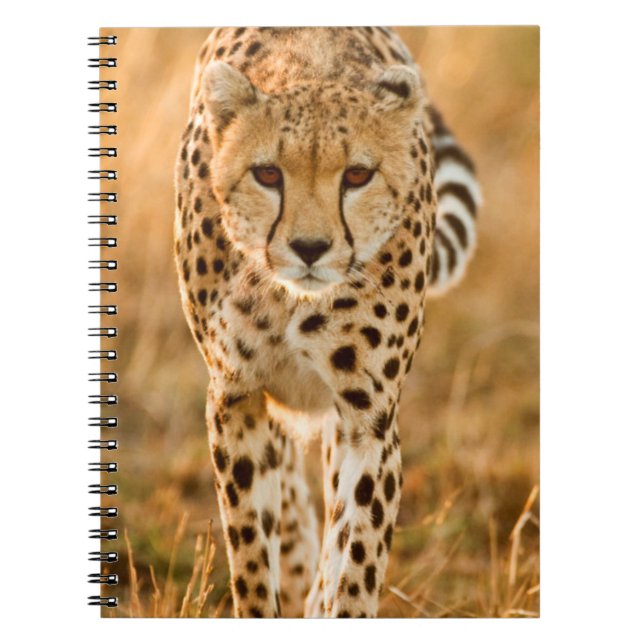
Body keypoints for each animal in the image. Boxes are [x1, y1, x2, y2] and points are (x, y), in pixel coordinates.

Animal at [174, 26, 481, 618]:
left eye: (357, 175)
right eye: (267, 173)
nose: (310, 248)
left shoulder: (369, 418)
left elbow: (355, 555)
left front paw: (335, 599)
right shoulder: (234, 396)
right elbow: (251, 551)